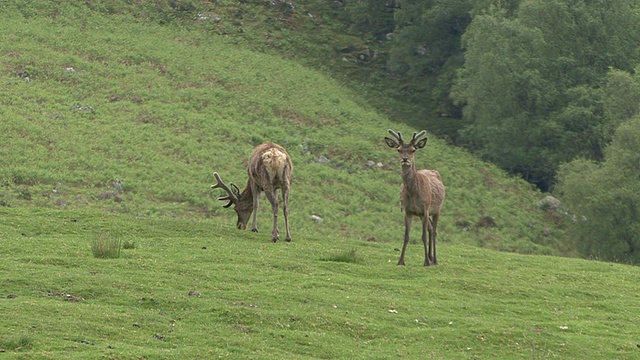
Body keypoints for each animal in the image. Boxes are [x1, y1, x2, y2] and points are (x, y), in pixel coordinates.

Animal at [384, 129, 444, 264]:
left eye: (413, 150)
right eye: (399, 149)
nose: (405, 159)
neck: (413, 193)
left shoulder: (425, 209)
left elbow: (423, 236)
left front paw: (426, 262)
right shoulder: (408, 211)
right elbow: (406, 236)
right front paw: (401, 261)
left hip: (437, 209)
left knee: (434, 231)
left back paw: (434, 260)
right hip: (423, 215)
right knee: (430, 229)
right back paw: (431, 257)